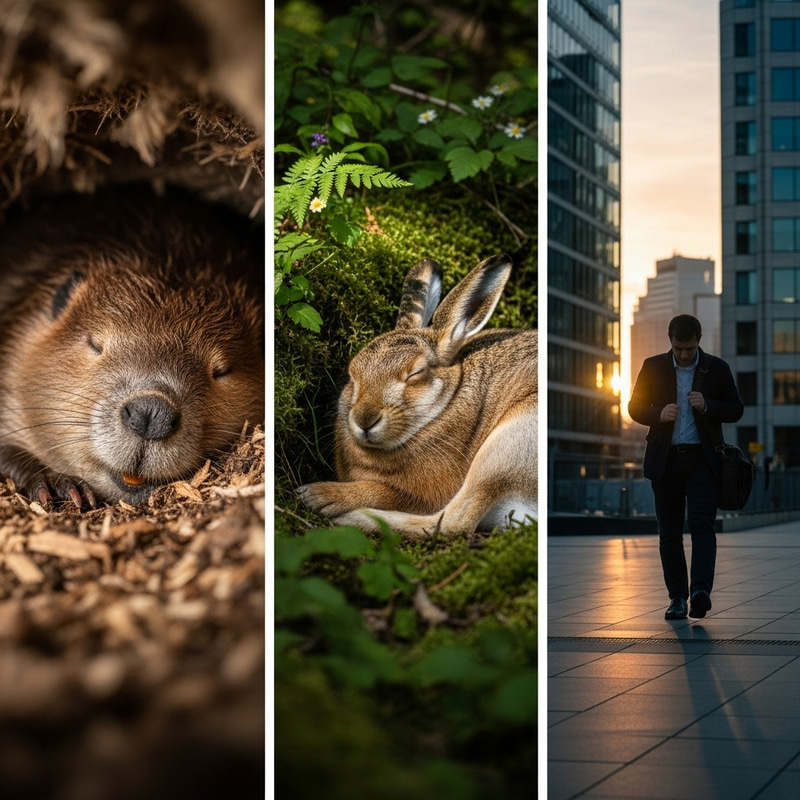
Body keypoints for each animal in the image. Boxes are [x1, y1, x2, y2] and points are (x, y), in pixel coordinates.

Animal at [297, 253, 536, 539]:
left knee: (454, 522)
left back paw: (346, 513)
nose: (364, 419)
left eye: (415, 373)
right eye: (352, 373)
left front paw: (314, 496)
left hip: (508, 445)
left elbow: (386, 492)